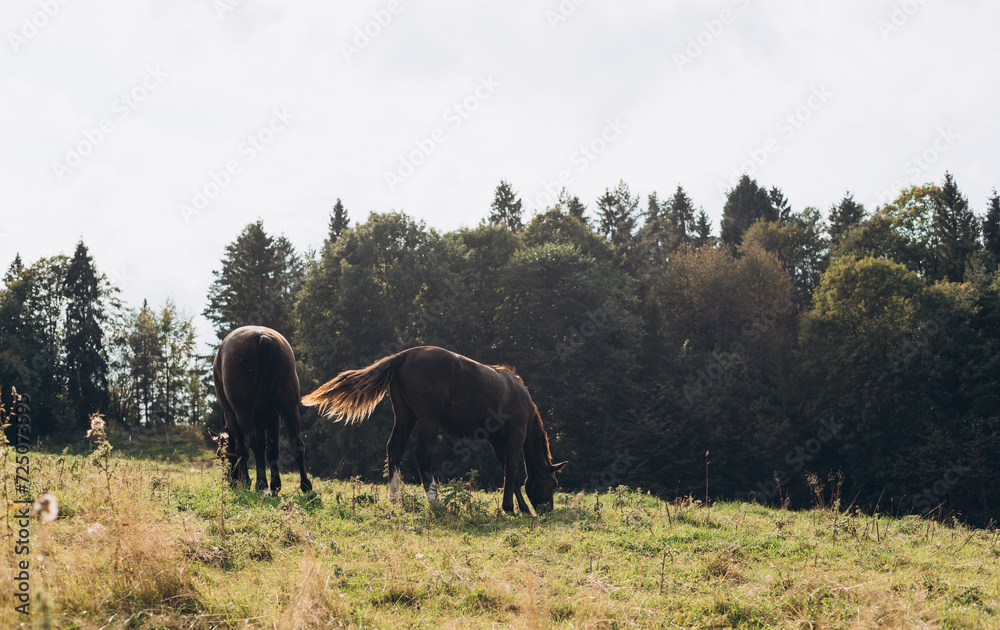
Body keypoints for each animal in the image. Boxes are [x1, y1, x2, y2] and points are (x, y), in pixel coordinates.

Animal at [211, 325, 312, 494]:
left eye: (221, 455)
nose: (229, 481)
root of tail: (263, 337)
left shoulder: (232, 416)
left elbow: (241, 449)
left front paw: (246, 481)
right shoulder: (274, 416)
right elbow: (272, 450)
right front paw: (276, 484)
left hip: (244, 415)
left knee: (256, 444)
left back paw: (260, 484)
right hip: (290, 408)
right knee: (297, 443)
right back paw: (306, 485)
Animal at [301, 345, 567, 514]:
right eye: (553, 484)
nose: (548, 510)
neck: (519, 394)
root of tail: (404, 355)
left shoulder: (497, 442)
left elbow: (509, 473)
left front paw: (518, 507)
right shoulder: (515, 436)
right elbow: (512, 471)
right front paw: (513, 508)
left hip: (405, 416)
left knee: (394, 449)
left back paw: (395, 497)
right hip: (428, 421)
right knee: (422, 454)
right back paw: (434, 500)